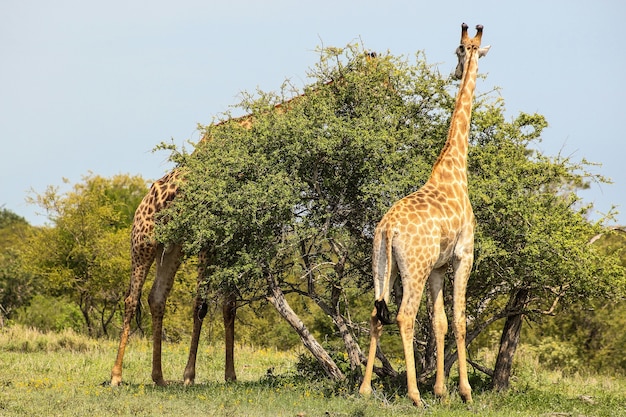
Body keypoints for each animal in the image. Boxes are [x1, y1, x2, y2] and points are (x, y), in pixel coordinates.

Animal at [356, 23, 488, 406]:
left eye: (460, 49)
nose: (457, 71)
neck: (454, 171)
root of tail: (387, 228)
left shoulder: (438, 266)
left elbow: (440, 321)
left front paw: (442, 390)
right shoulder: (463, 255)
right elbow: (459, 320)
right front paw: (464, 391)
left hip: (383, 265)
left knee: (376, 313)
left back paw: (365, 389)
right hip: (412, 268)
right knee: (404, 316)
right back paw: (414, 394)